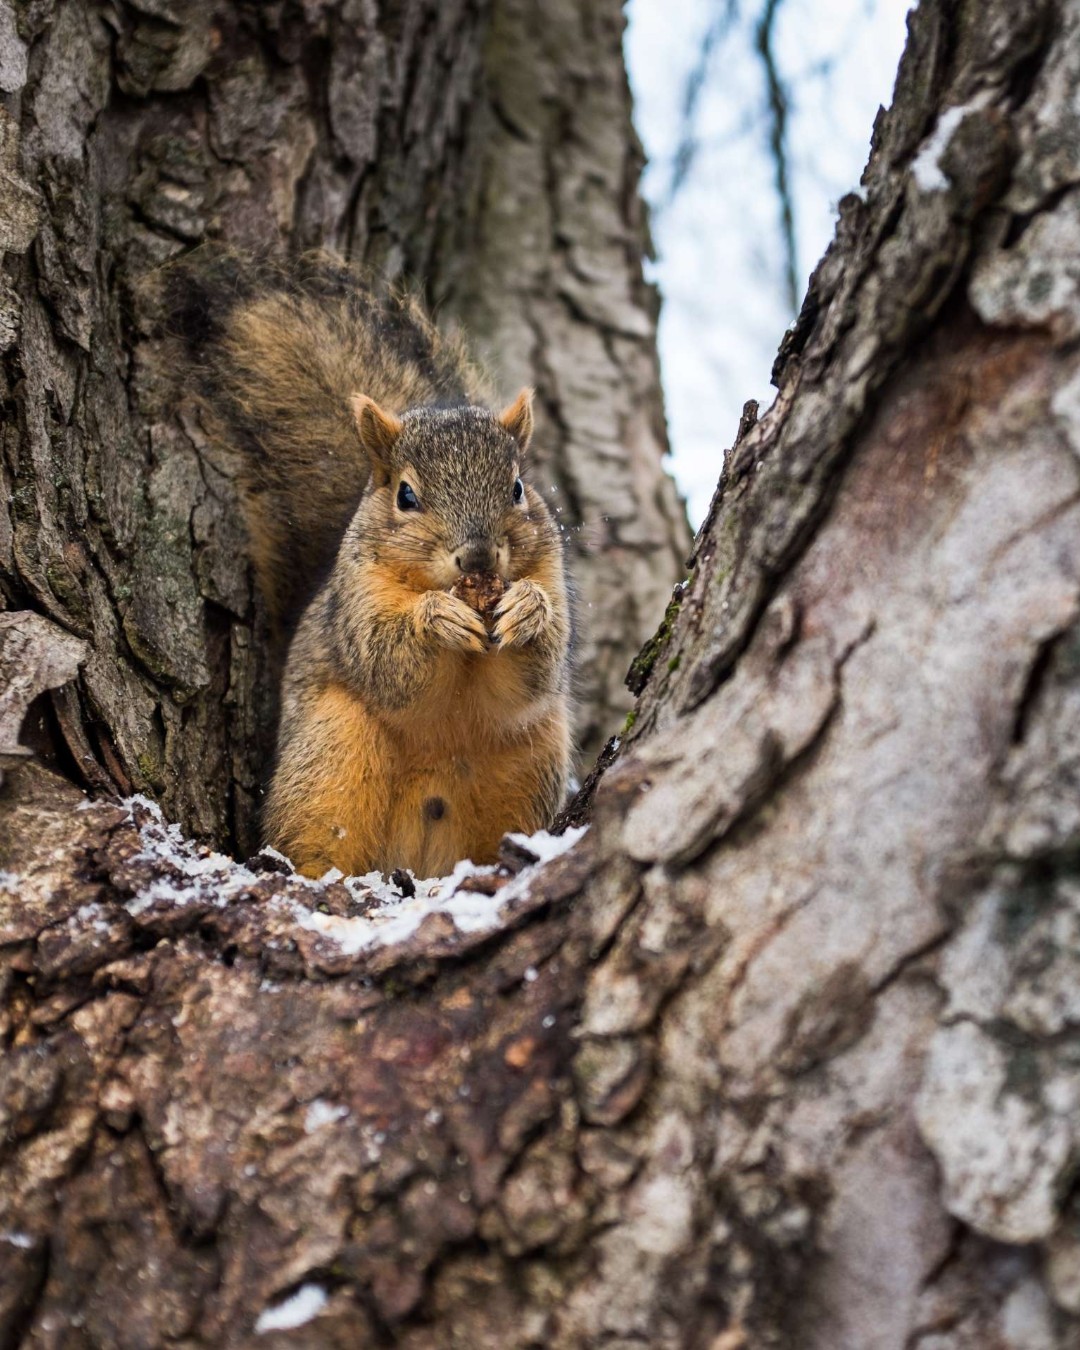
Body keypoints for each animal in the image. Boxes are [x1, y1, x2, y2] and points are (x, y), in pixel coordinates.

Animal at [165, 252, 573, 879]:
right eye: (405, 495)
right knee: (316, 832)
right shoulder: (354, 599)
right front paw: (435, 620)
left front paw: (529, 610)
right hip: (333, 754)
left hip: (530, 760)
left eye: (518, 488)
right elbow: (386, 657)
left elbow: (538, 669)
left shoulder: (550, 572)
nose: (479, 556)